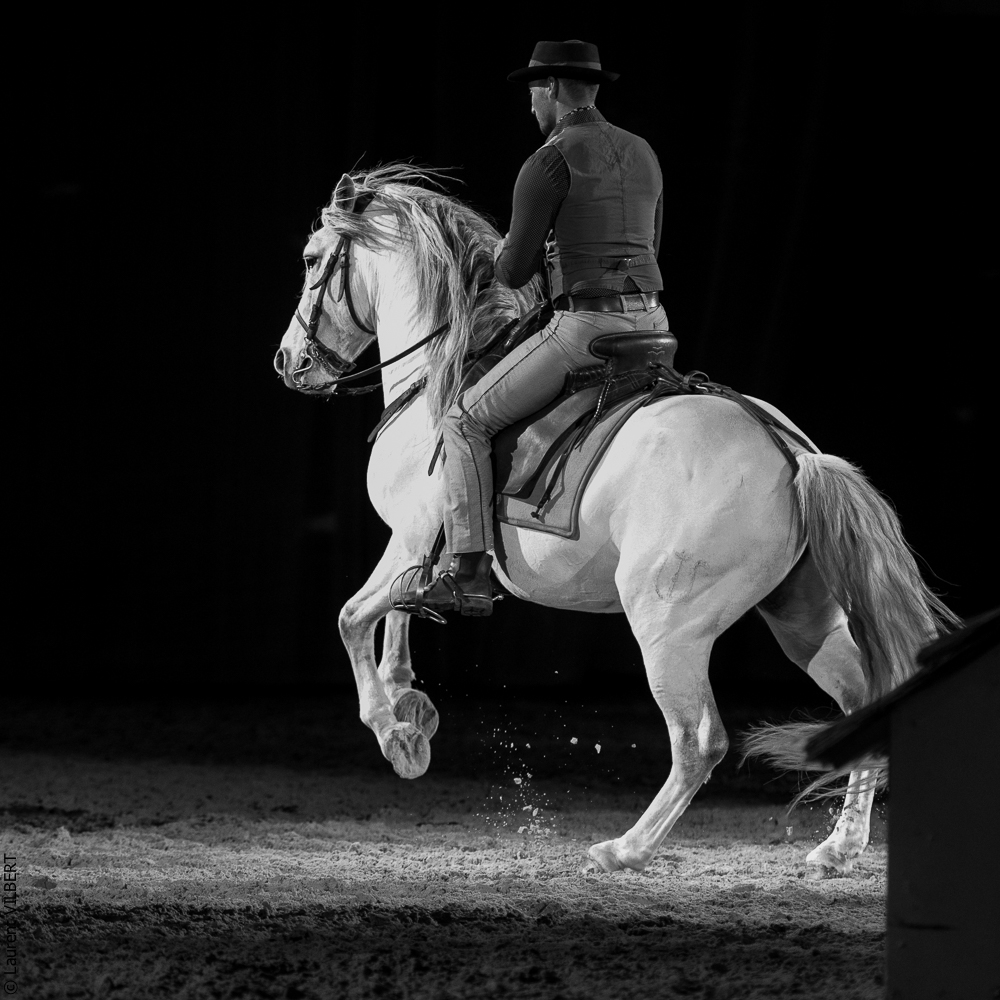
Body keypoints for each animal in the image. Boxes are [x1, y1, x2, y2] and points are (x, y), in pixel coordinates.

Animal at [273, 165, 958, 878]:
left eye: (312, 259)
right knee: (861, 706)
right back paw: (837, 847)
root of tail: (790, 450)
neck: (443, 374)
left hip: (669, 625)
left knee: (698, 740)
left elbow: (353, 617)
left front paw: (397, 734)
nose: (289, 362)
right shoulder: (414, 549)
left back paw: (626, 848)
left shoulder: (412, 539)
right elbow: (397, 615)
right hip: (803, 617)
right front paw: (410, 702)